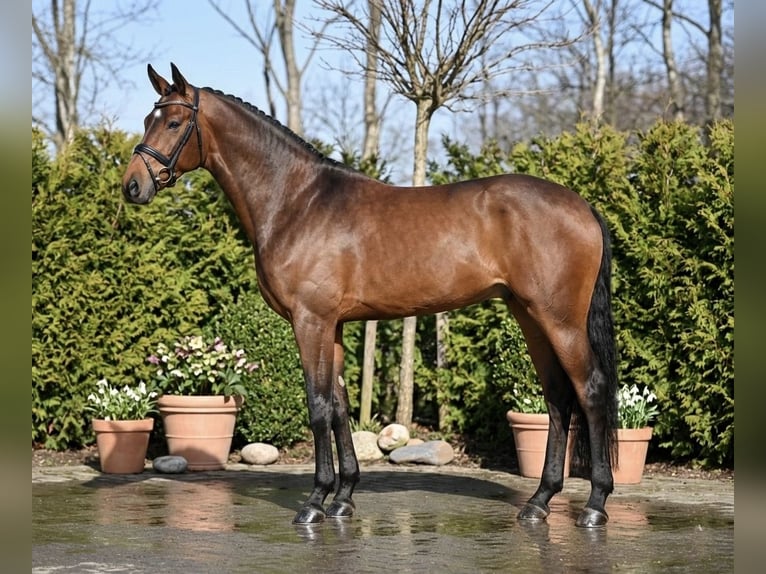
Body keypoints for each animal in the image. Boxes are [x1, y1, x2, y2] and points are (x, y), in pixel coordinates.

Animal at [122, 63, 619, 528]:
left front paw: (314, 502)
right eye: (147, 118)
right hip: (530, 317)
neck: (296, 202)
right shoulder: (335, 326)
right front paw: (343, 498)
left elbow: (318, 405)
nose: (133, 186)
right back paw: (539, 502)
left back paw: (595, 505)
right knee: (557, 398)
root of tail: (583, 206)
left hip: (559, 321)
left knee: (590, 390)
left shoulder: (311, 321)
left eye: (172, 122)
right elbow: (340, 406)